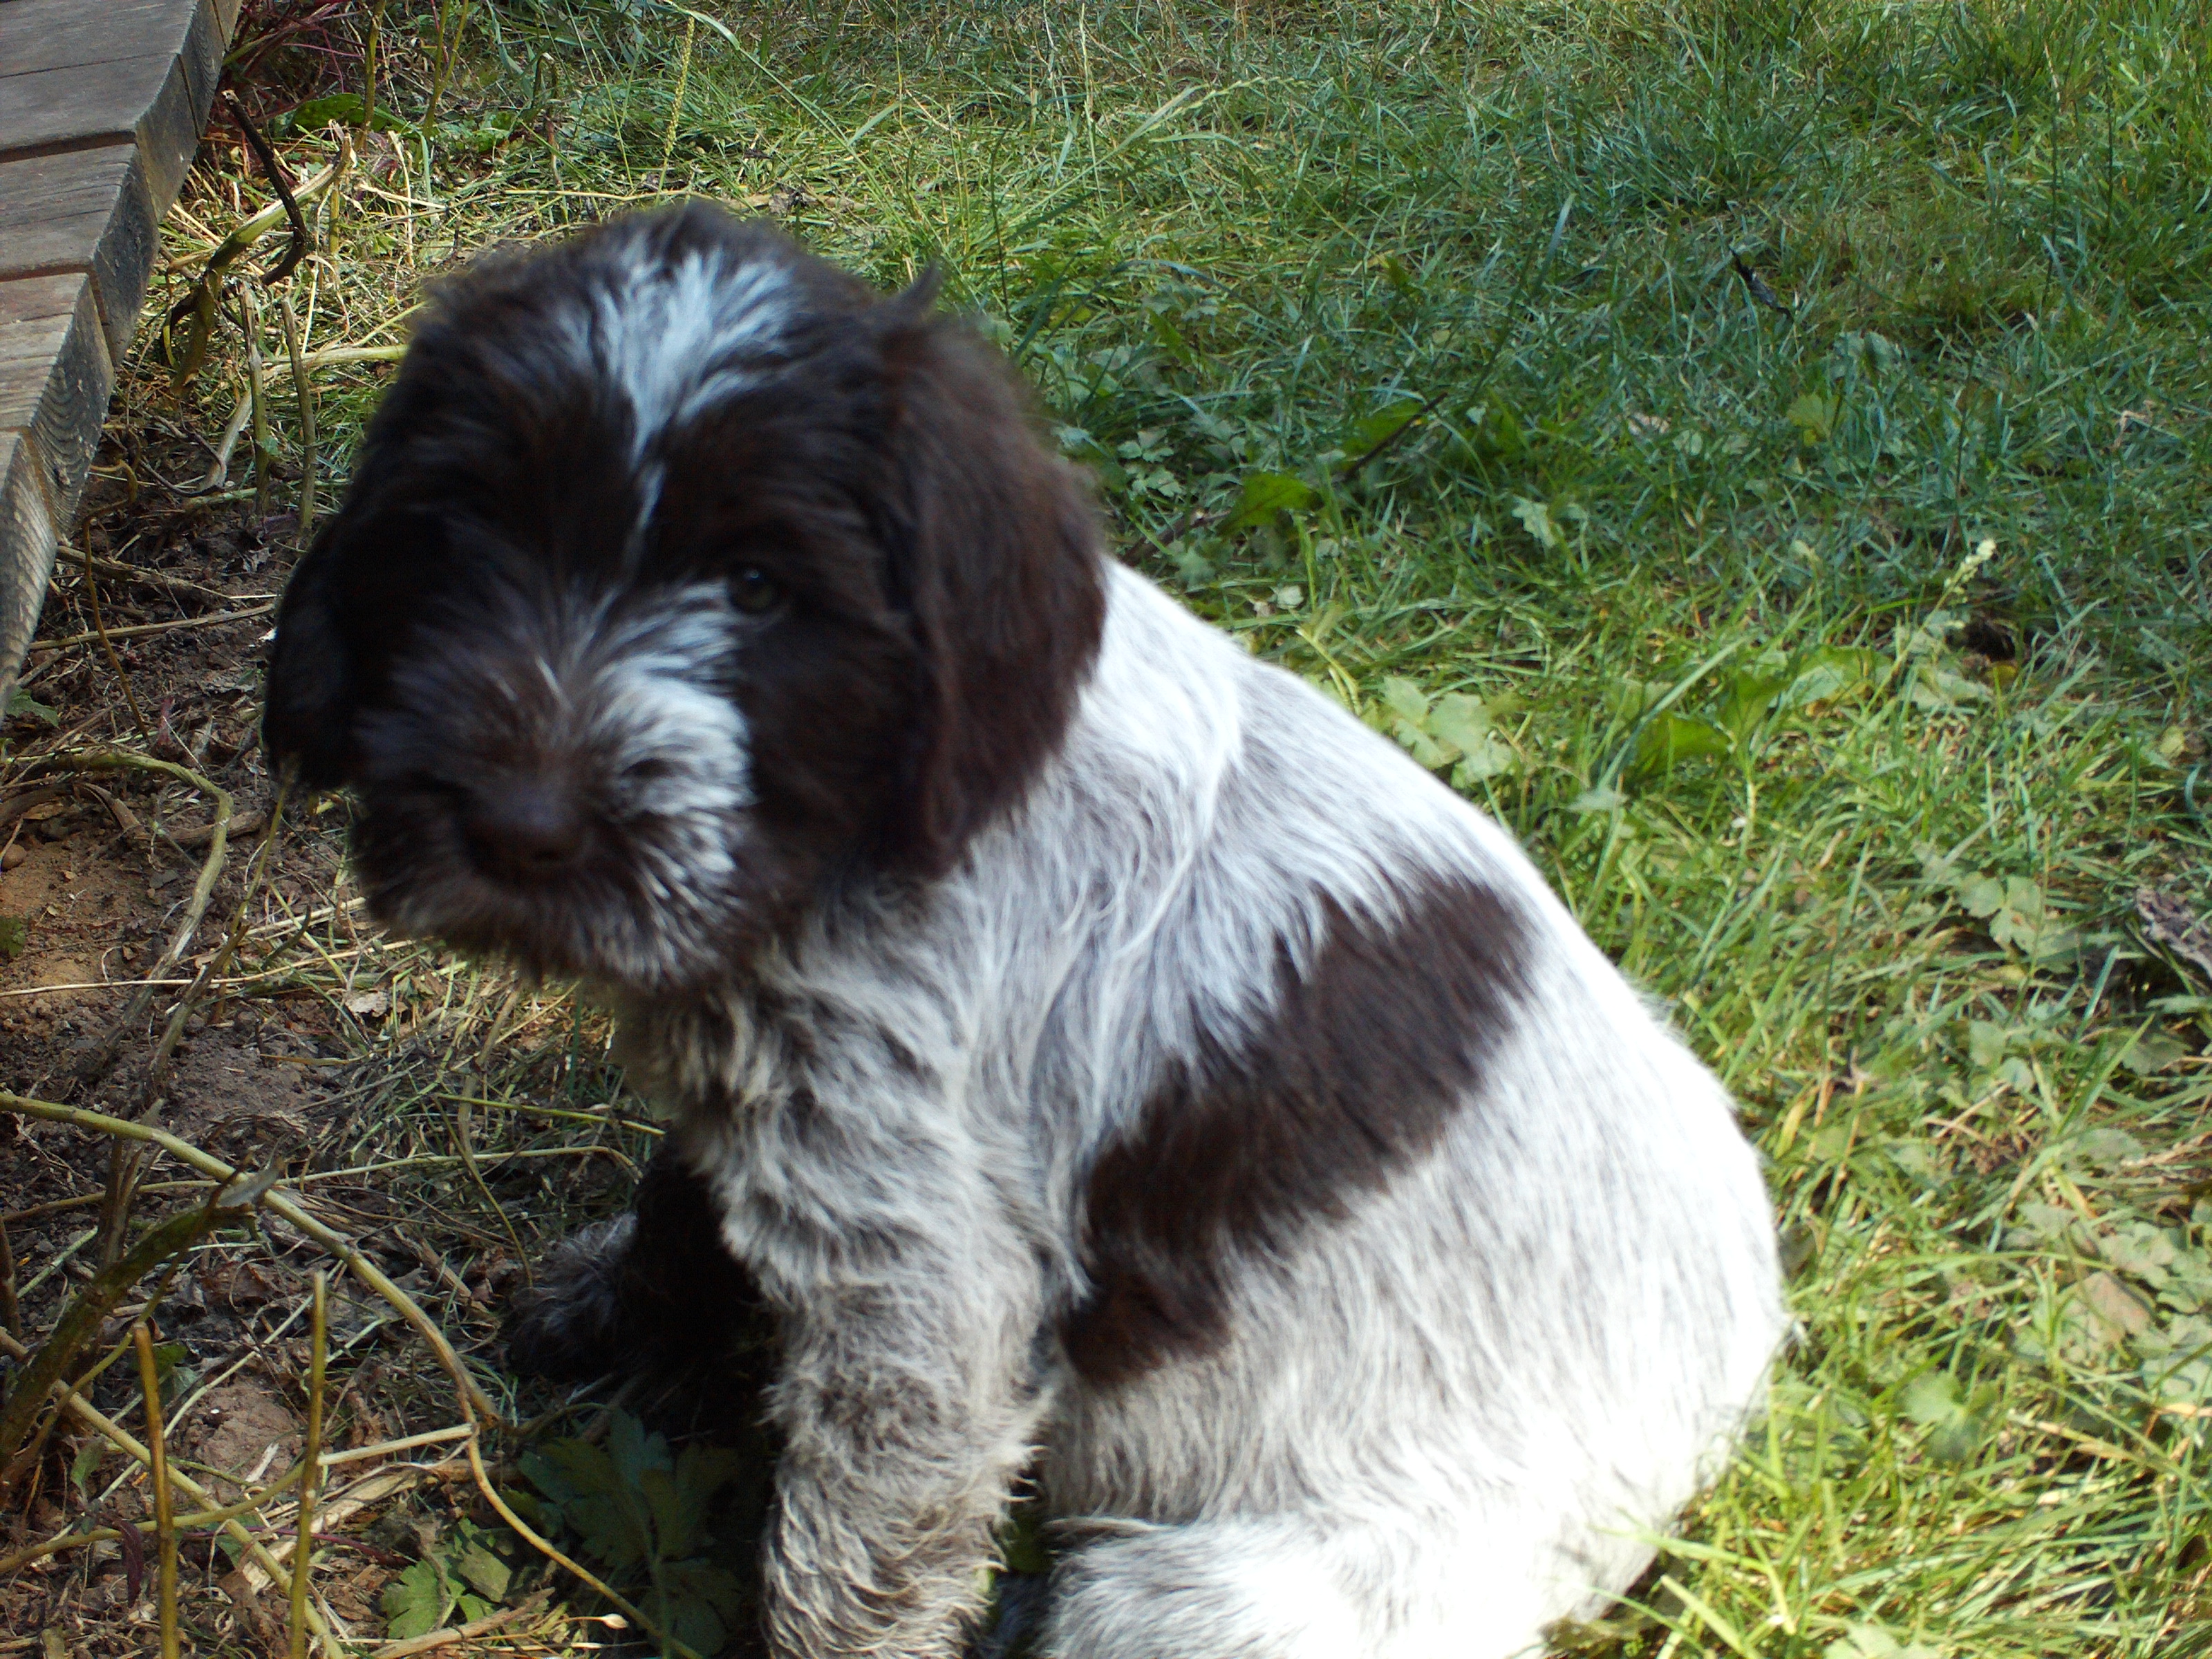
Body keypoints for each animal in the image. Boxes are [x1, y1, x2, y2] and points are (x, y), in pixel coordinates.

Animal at [264, 203, 1784, 1659]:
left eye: (759, 587)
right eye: (468, 536)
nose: (518, 827)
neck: (858, 844)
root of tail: (1729, 1405)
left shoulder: (923, 1292)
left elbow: (848, 1578)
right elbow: (681, 1206)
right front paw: (605, 1313)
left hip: (1206, 1603)